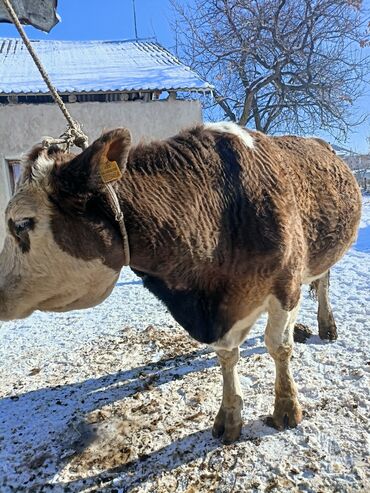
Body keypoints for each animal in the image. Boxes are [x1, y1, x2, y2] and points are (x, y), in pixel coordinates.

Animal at [0, 122, 360, 442]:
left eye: (21, 224)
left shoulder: (285, 284)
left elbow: (278, 346)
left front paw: (286, 408)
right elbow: (227, 356)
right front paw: (230, 416)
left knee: (323, 282)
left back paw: (326, 325)